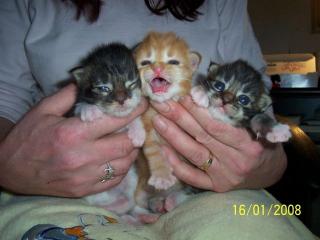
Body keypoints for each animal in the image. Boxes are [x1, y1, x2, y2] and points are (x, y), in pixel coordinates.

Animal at [134, 31, 201, 211]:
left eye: (173, 62)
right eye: (146, 62)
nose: (157, 68)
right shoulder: (149, 130)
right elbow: (154, 151)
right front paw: (162, 176)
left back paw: (171, 201)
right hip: (141, 194)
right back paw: (158, 204)